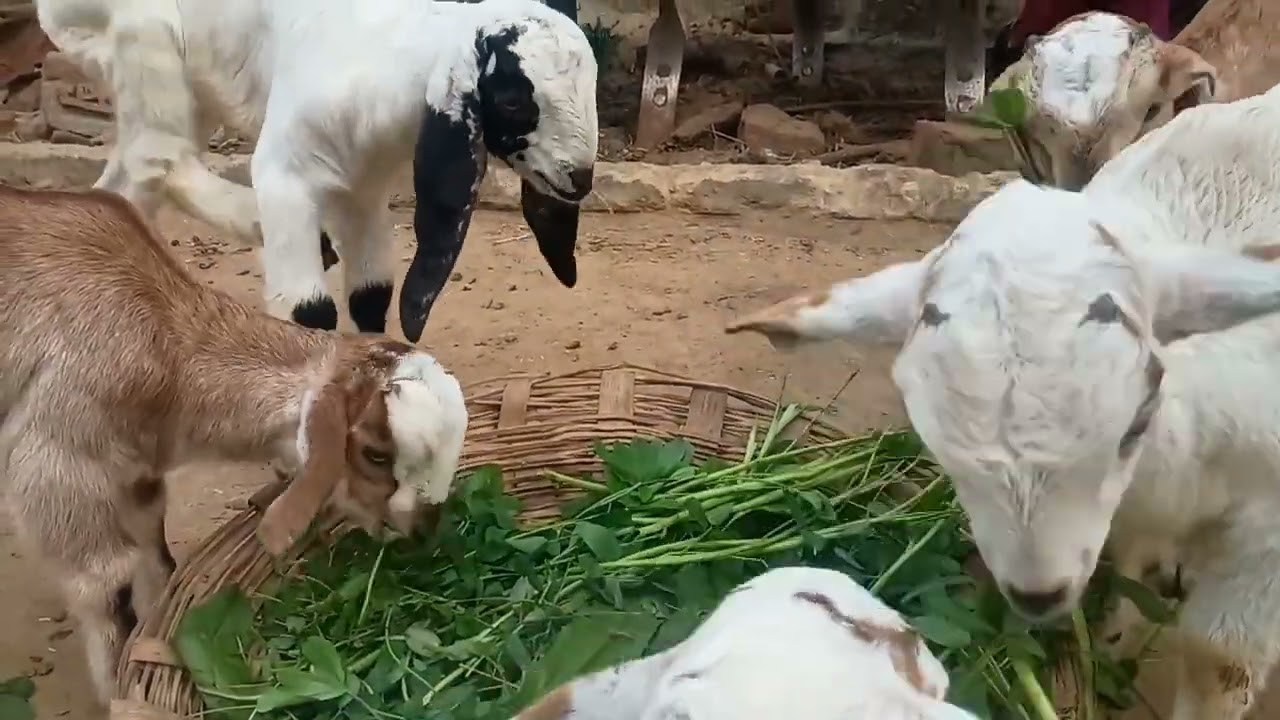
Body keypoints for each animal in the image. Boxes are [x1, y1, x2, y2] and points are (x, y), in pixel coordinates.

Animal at [0, 185, 468, 706]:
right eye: (375, 454)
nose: (425, 530)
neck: (167, 350)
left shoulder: (137, 468)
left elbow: (155, 542)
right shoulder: (57, 459)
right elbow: (105, 584)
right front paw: (115, 691)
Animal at [35, 0, 599, 343]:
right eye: (510, 99)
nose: (580, 178)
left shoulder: (365, 183)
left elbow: (371, 296)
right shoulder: (286, 172)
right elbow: (309, 311)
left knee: (128, 179)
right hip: (145, 37)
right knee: (157, 152)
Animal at [727, 83, 1280, 719]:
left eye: (1136, 422)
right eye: (933, 443)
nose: (1038, 594)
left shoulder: (1264, 539)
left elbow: (1219, 663)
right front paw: (1116, 640)